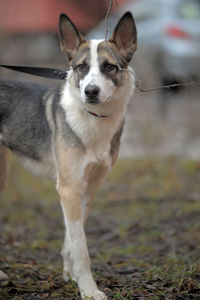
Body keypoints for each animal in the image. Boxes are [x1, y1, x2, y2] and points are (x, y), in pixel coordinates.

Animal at [0, 11, 137, 298]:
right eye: (81, 67)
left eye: (109, 67)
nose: (91, 92)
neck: (94, 119)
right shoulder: (69, 187)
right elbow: (81, 246)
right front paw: (89, 289)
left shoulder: (86, 188)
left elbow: (73, 239)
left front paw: (70, 276)